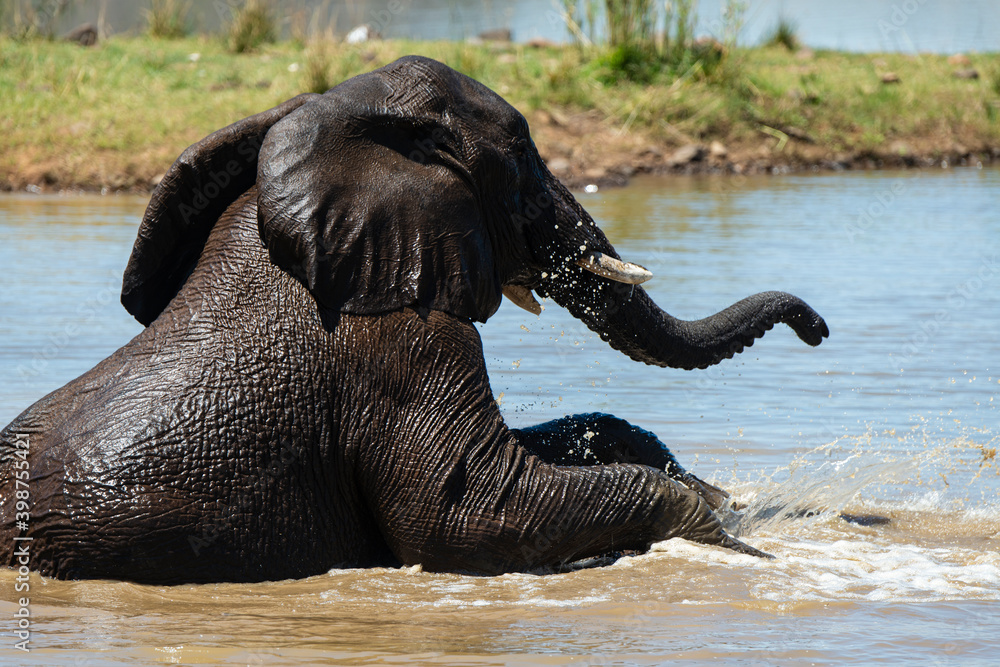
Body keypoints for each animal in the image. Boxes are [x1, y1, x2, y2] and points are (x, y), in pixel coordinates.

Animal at [0, 56, 829, 584]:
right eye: (524, 162)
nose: (817, 327)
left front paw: (721, 501)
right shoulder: (397, 338)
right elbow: (468, 516)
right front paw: (733, 543)